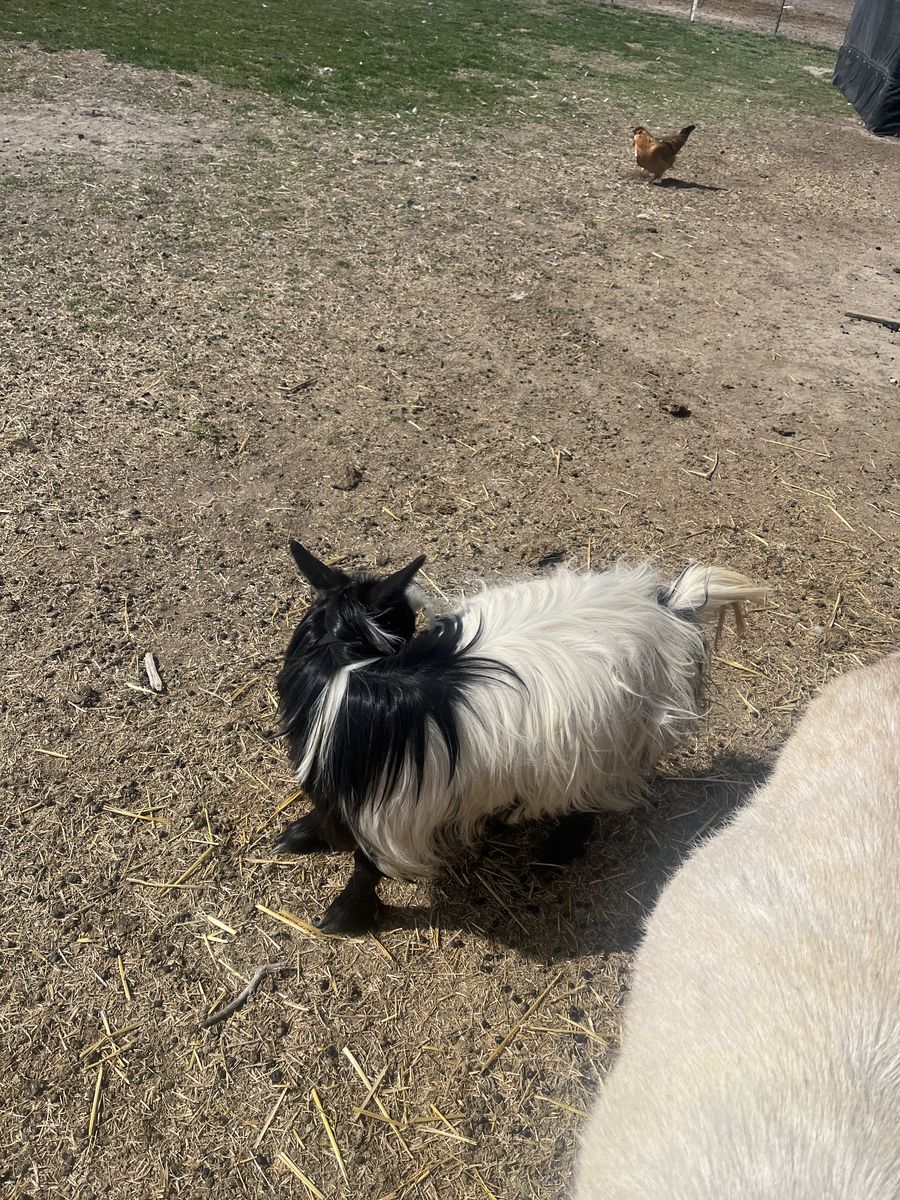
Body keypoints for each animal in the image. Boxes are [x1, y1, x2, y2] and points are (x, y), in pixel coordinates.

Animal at [274, 542, 767, 934]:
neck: (344, 677)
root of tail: (666, 606)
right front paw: (300, 834)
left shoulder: (390, 813)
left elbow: (366, 865)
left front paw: (344, 915)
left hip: (607, 744)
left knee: (589, 801)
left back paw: (556, 852)